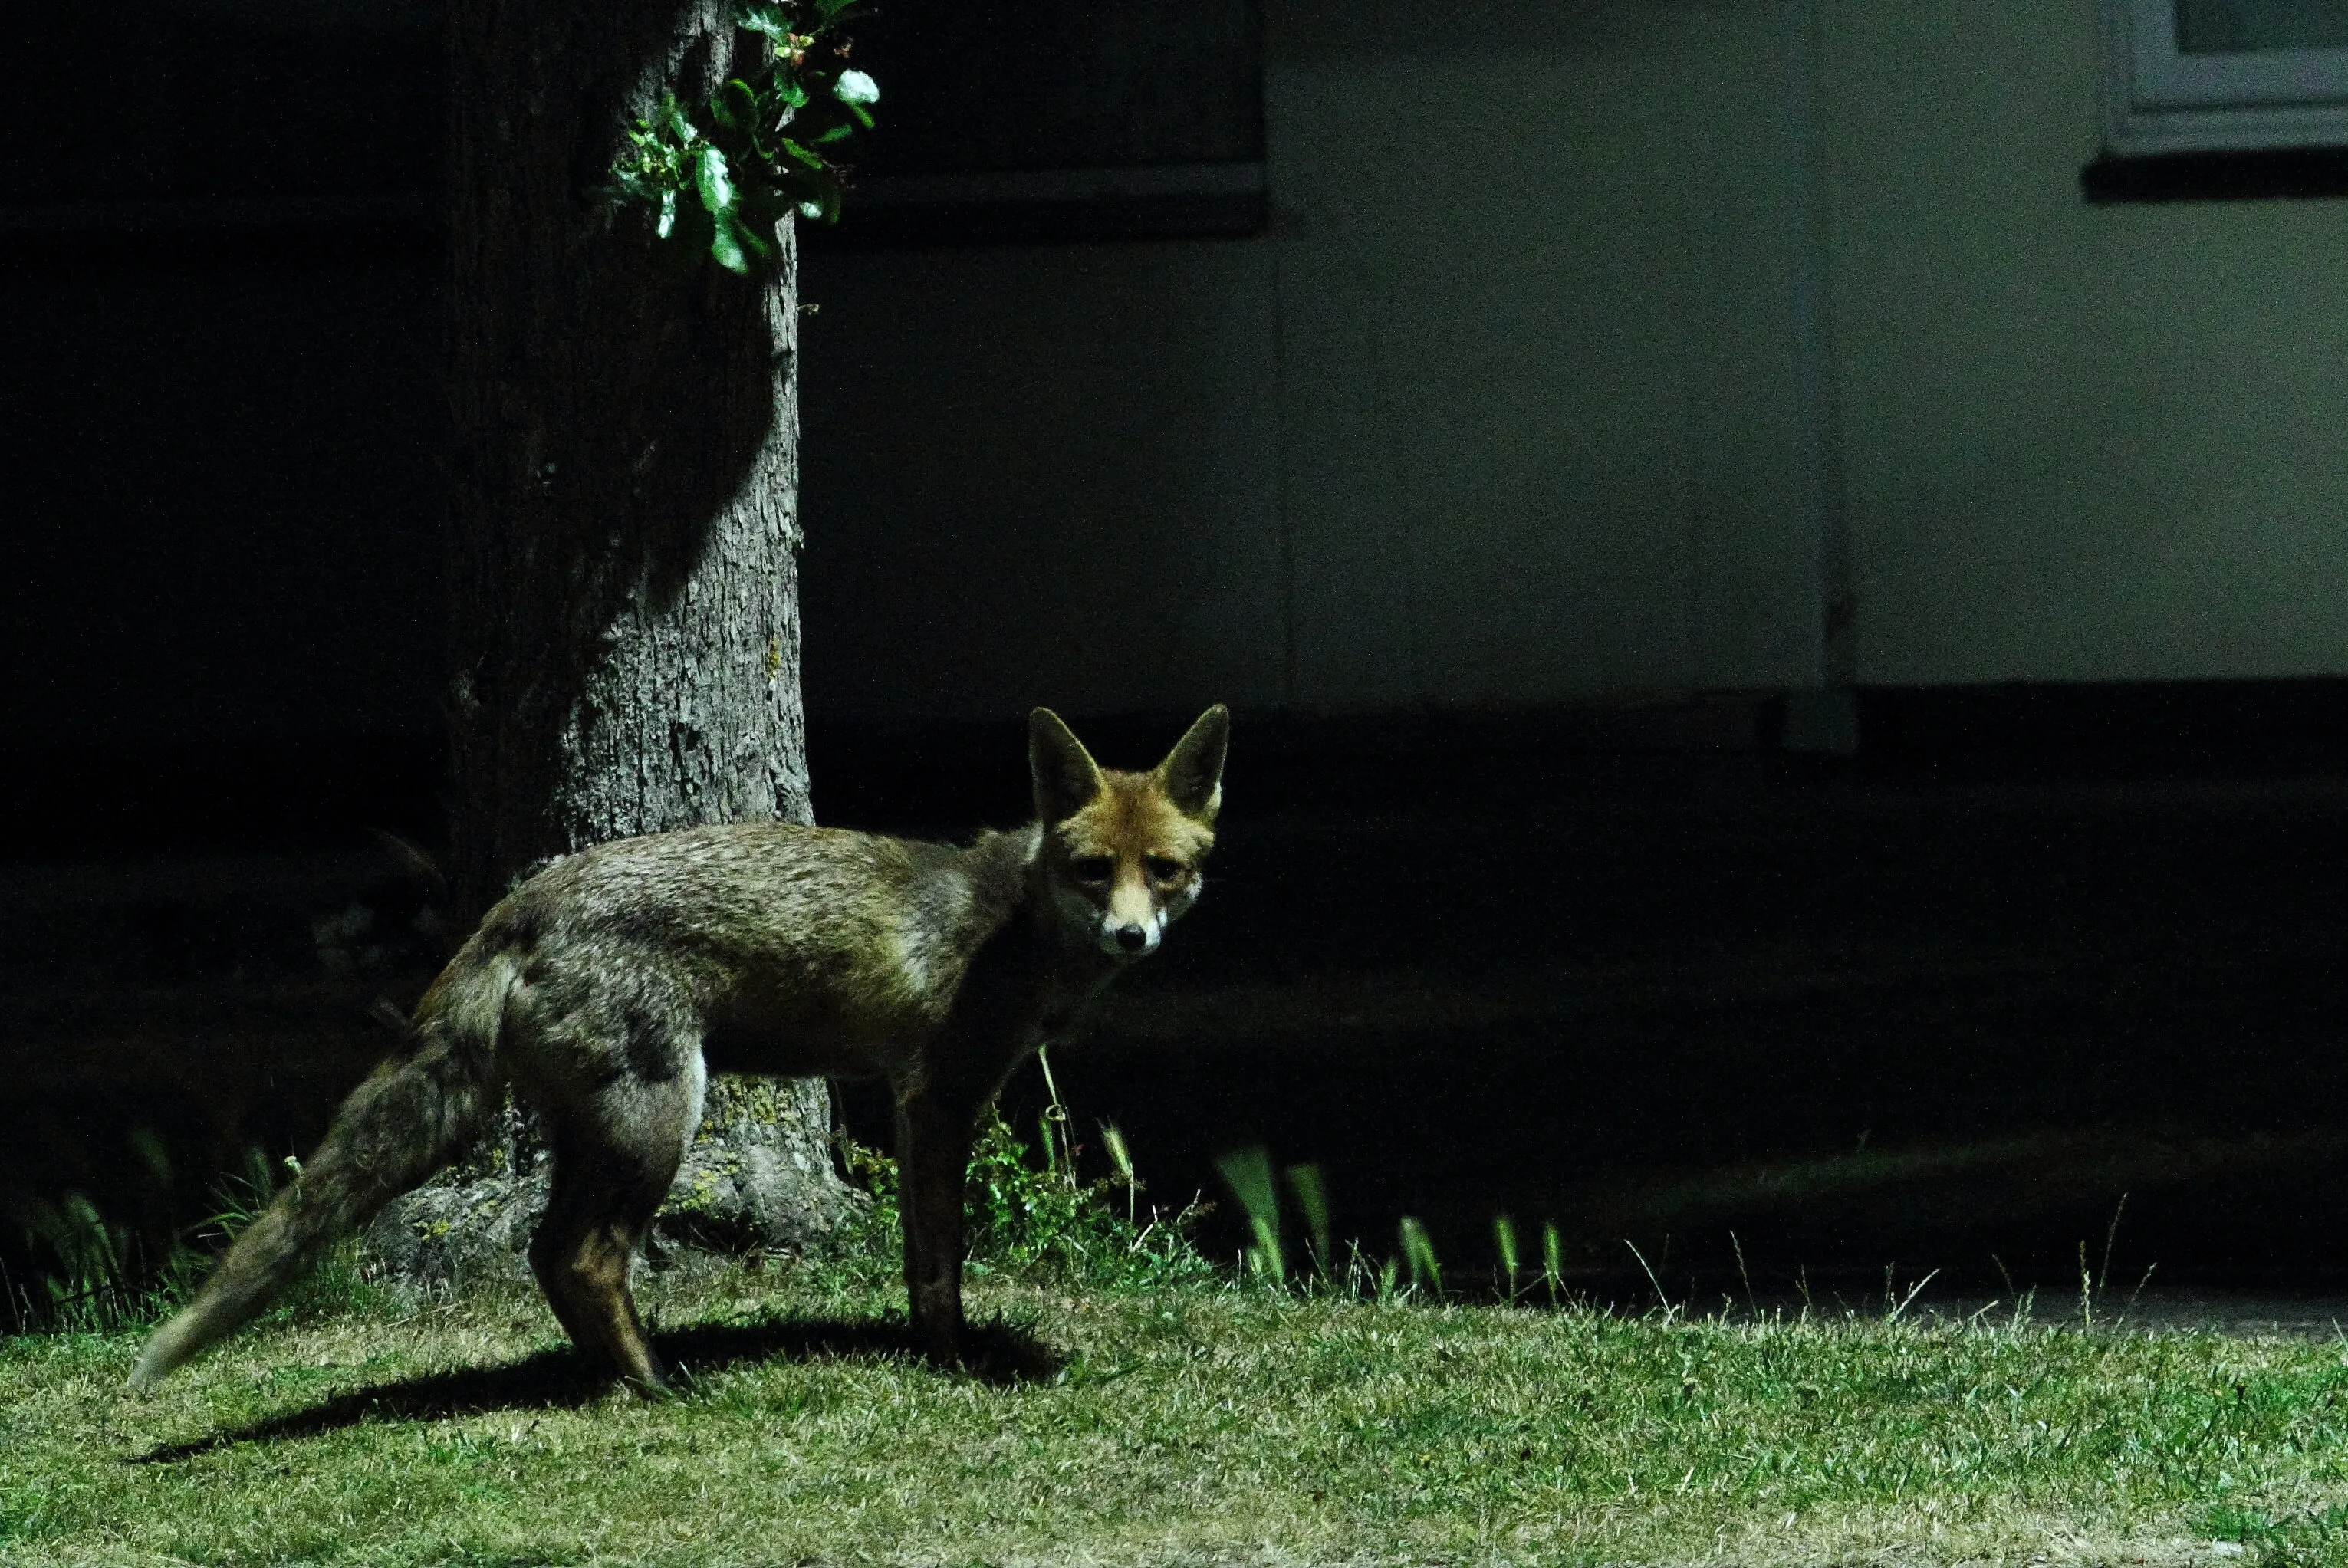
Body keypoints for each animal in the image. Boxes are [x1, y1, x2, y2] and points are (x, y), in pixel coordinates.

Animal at [129, 704, 1229, 1395]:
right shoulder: (938, 1096)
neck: (1012, 924)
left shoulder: (914, 1103)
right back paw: (658, 1383)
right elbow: (940, 1256)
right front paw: (952, 1360)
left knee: (547, 1253)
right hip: (660, 1119)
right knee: (585, 1256)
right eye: (1092, 870)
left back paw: (611, 1378)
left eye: (1164, 870)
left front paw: (931, 1350)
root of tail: (517, 907)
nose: (1132, 936)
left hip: (597, 1129)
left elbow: (922, 1252)